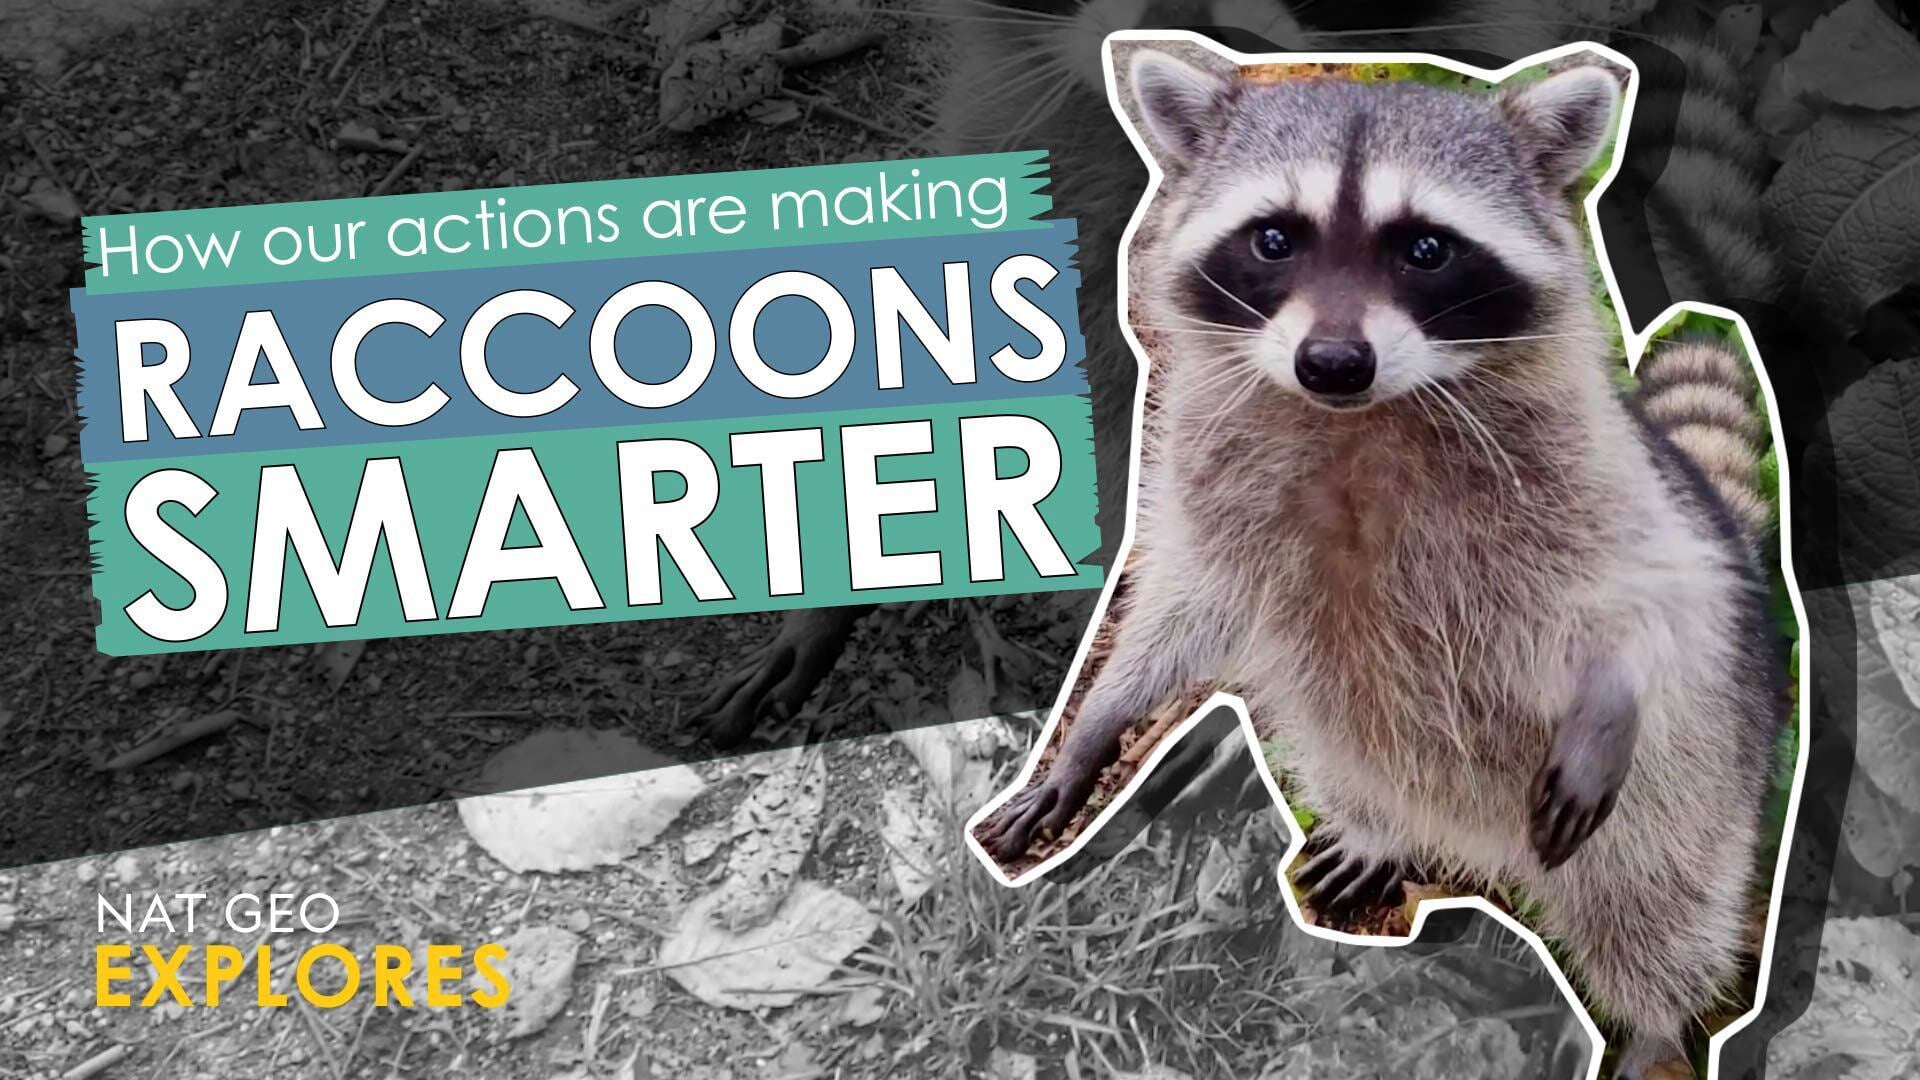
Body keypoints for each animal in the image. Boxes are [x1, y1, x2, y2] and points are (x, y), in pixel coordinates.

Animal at [977, 47, 1789, 1078]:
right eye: (1273, 239)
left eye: (1427, 250)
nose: (1332, 361)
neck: (1354, 422)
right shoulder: (1207, 477)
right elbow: (1180, 604)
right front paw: (1097, 725)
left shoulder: (1591, 473)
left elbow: (1641, 591)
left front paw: (1613, 681)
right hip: (1364, 745)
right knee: (1360, 747)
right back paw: (1381, 827)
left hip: (1692, 782)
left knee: (1655, 906)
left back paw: (1649, 1026)